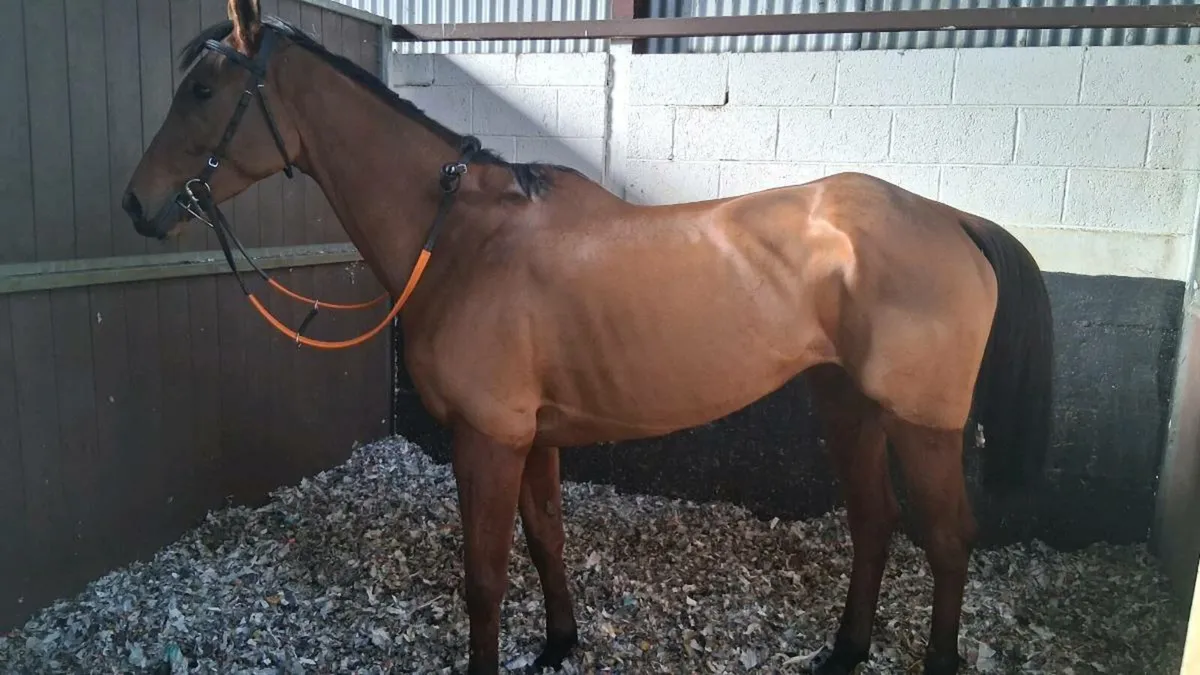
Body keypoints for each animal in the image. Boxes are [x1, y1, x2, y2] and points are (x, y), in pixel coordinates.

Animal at [120, 1, 1054, 673]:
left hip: (920, 426)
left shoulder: (488, 439)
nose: (137, 203)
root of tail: (952, 218)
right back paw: (845, 651)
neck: (462, 240)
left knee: (947, 541)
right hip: (847, 406)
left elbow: (486, 578)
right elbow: (546, 542)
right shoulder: (534, 438)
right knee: (873, 521)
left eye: (202, 91)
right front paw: (560, 643)